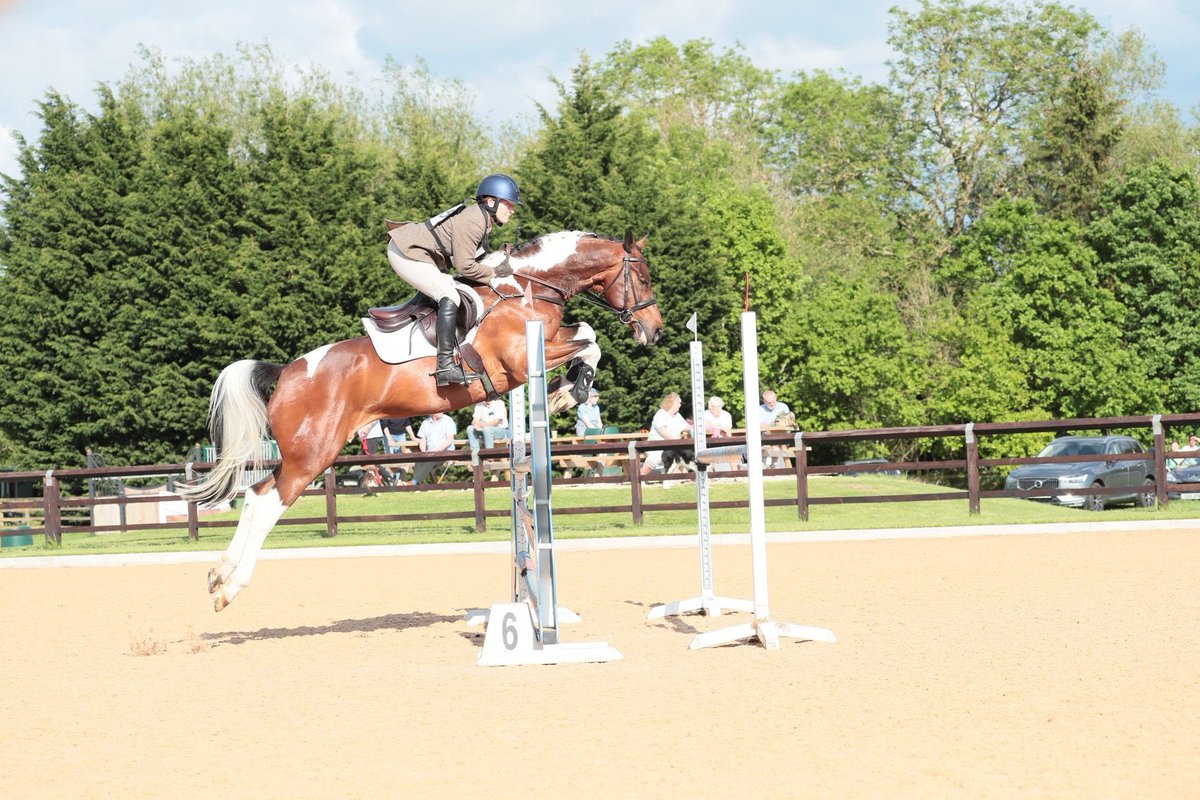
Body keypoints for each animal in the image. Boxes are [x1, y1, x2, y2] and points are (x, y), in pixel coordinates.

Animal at [182, 229, 663, 611]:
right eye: (642, 277)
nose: (654, 330)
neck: (527, 286)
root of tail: (286, 372)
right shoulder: (521, 359)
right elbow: (590, 337)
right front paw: (571, 391)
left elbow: (586, 336)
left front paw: (567, 389)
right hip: (312, 456)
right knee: (268, 504)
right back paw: (230, 588)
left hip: (299, 455)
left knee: (255, 493)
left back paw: (218, 574)